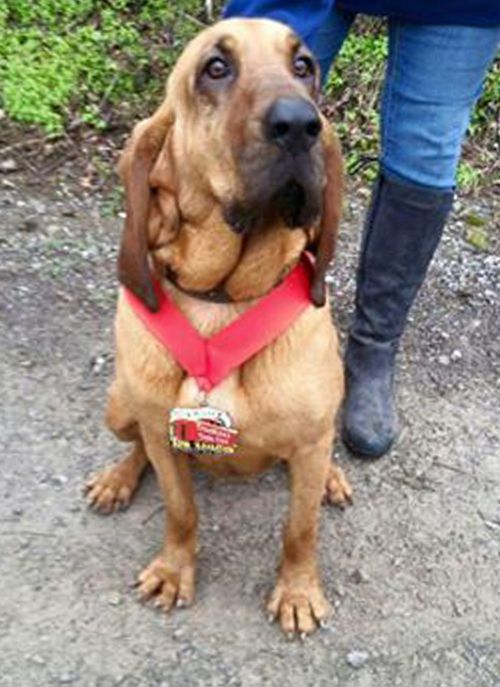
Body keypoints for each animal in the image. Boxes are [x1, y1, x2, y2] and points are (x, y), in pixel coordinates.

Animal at [86, 17, 352, 640]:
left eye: (304, 65)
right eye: (215, 68)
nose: (300, 124)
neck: (224, 297)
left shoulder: (309, 442)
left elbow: (299, 529)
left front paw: (298, 592)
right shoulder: (161, 432)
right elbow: (180, 511)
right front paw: (172, 571)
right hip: (119, 405)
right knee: (136, 447)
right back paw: (116, 478)